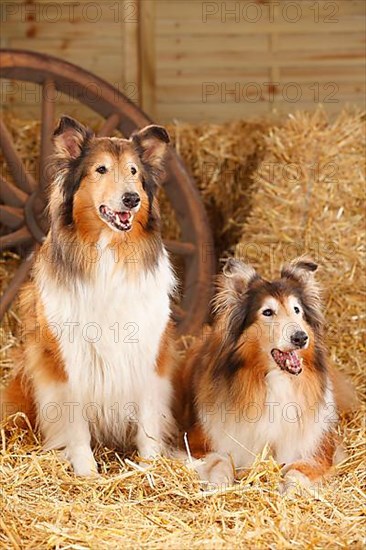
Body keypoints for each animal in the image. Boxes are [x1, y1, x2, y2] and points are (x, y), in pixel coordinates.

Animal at [0, 115, 177, 474]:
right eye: (101, 169)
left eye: (134, 171)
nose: (131, 199)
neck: (108, 251)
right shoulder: (66, 357)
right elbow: (74, 420)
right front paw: (86, 470)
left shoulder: (148, 349)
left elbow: (148, 415)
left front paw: (151, 464)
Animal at [174, 258, 354, 492]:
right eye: (267, 312)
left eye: (297, 310)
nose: (300, 337)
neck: (275, 381)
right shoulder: (193, 443)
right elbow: (221, 460)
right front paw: (219, 486)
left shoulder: (322, 451)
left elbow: (296, 472)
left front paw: (289, 492)